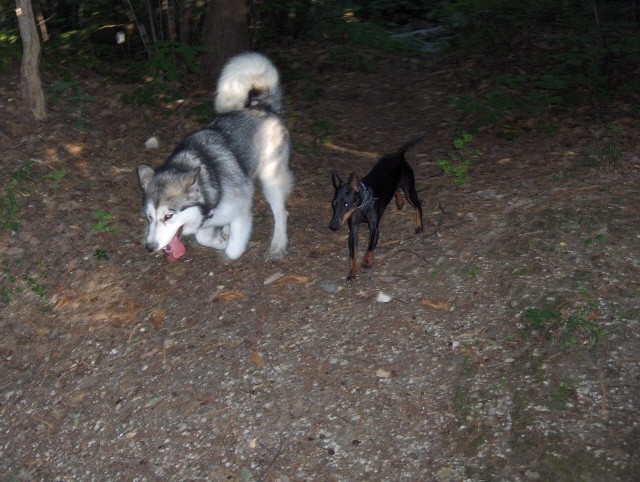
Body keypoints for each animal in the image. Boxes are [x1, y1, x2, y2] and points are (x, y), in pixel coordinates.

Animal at [330, 132, 424, 280]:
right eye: (334, 203)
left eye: (346, 204)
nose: (332, 226)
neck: (361, 206)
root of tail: (398, 154)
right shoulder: (353, 231)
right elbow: (352, 254)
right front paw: (352, 272)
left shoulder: (374, 228)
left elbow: (369, 247)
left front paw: (366, 263)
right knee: (395, 189)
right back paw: (399, 202)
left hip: (409, 188)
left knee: (418, 204)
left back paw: (419, 225)